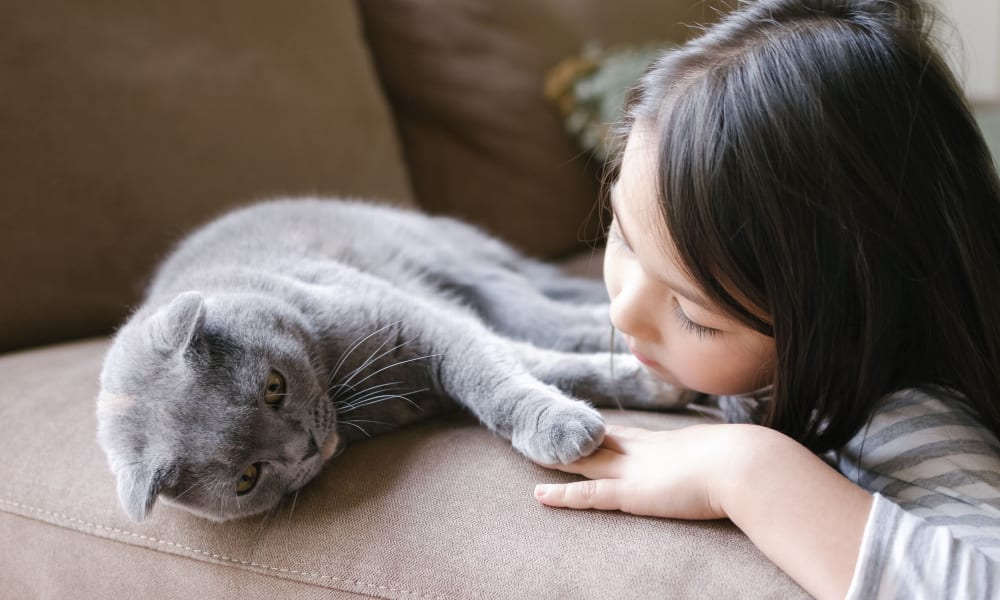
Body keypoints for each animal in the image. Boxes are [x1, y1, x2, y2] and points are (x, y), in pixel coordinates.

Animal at [95, 199, 688, 524]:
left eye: (273, 386)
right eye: (247, 478)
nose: (307, 446)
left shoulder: (420, 320)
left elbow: (497, 377)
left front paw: (567, 424)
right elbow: (532, 365)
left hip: (472, 270)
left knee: (557, 316)